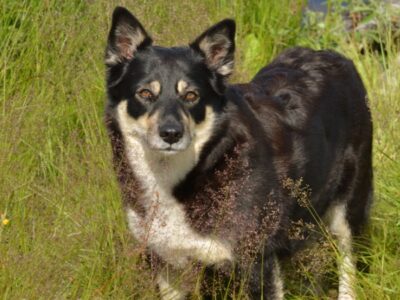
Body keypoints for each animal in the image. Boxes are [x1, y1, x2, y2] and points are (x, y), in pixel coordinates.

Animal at [103, 7, 372, 300]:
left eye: (191, 96)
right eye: (144, 93)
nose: (171, 134)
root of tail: (334, 55)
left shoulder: (256, 260)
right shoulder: (166, 262)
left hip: (348, 209)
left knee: (348, 263)